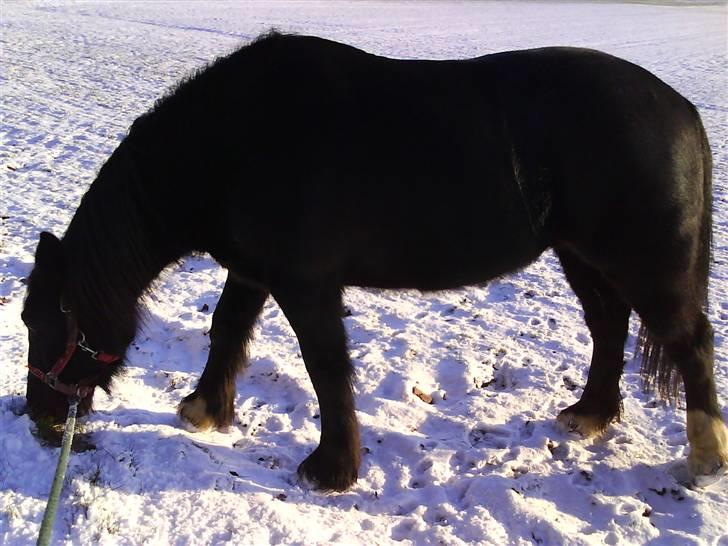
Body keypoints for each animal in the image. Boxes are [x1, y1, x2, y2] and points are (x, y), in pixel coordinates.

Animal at [22, 31, 726, 491]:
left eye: (39, 321)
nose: (40, 419)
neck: (236, 142)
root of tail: (683, 111)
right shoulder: (252, 272)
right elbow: (227, 331)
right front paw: (204, 409)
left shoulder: (306, 286)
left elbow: (326, 368)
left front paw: (331, 469)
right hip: (583, 257)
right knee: (608, 327)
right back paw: (591, 415)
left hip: (644, 265)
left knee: (689, 341)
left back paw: (704, 456)